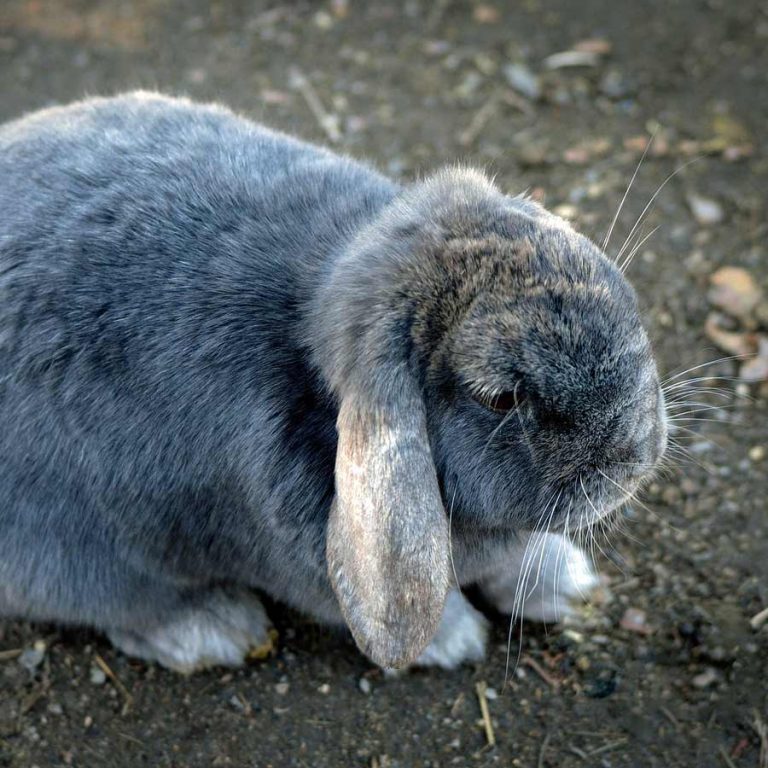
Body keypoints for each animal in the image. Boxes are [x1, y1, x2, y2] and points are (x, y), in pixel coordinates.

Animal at [0, 92, 667, 672]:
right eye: (500, 398)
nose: (633, 454)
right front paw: (454, 641)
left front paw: (568, 584)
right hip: (86, 559)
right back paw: (217, 629)